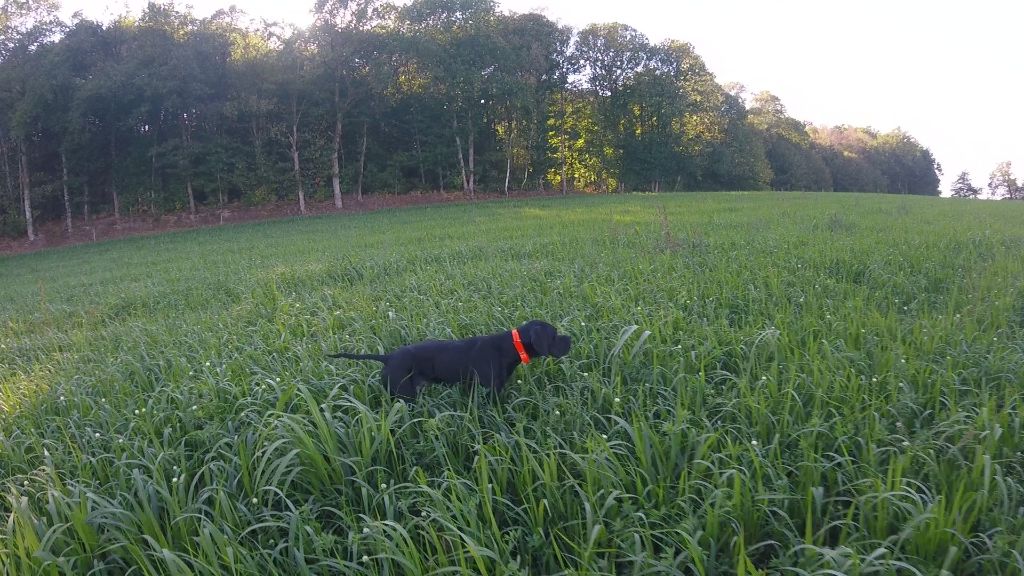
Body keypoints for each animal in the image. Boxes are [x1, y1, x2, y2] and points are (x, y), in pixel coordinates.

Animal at [327, 319, 573, 397]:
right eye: (554, 335)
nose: (570, 338)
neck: (509, 347)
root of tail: (387, 357)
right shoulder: (491, 391)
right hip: (405, 395)